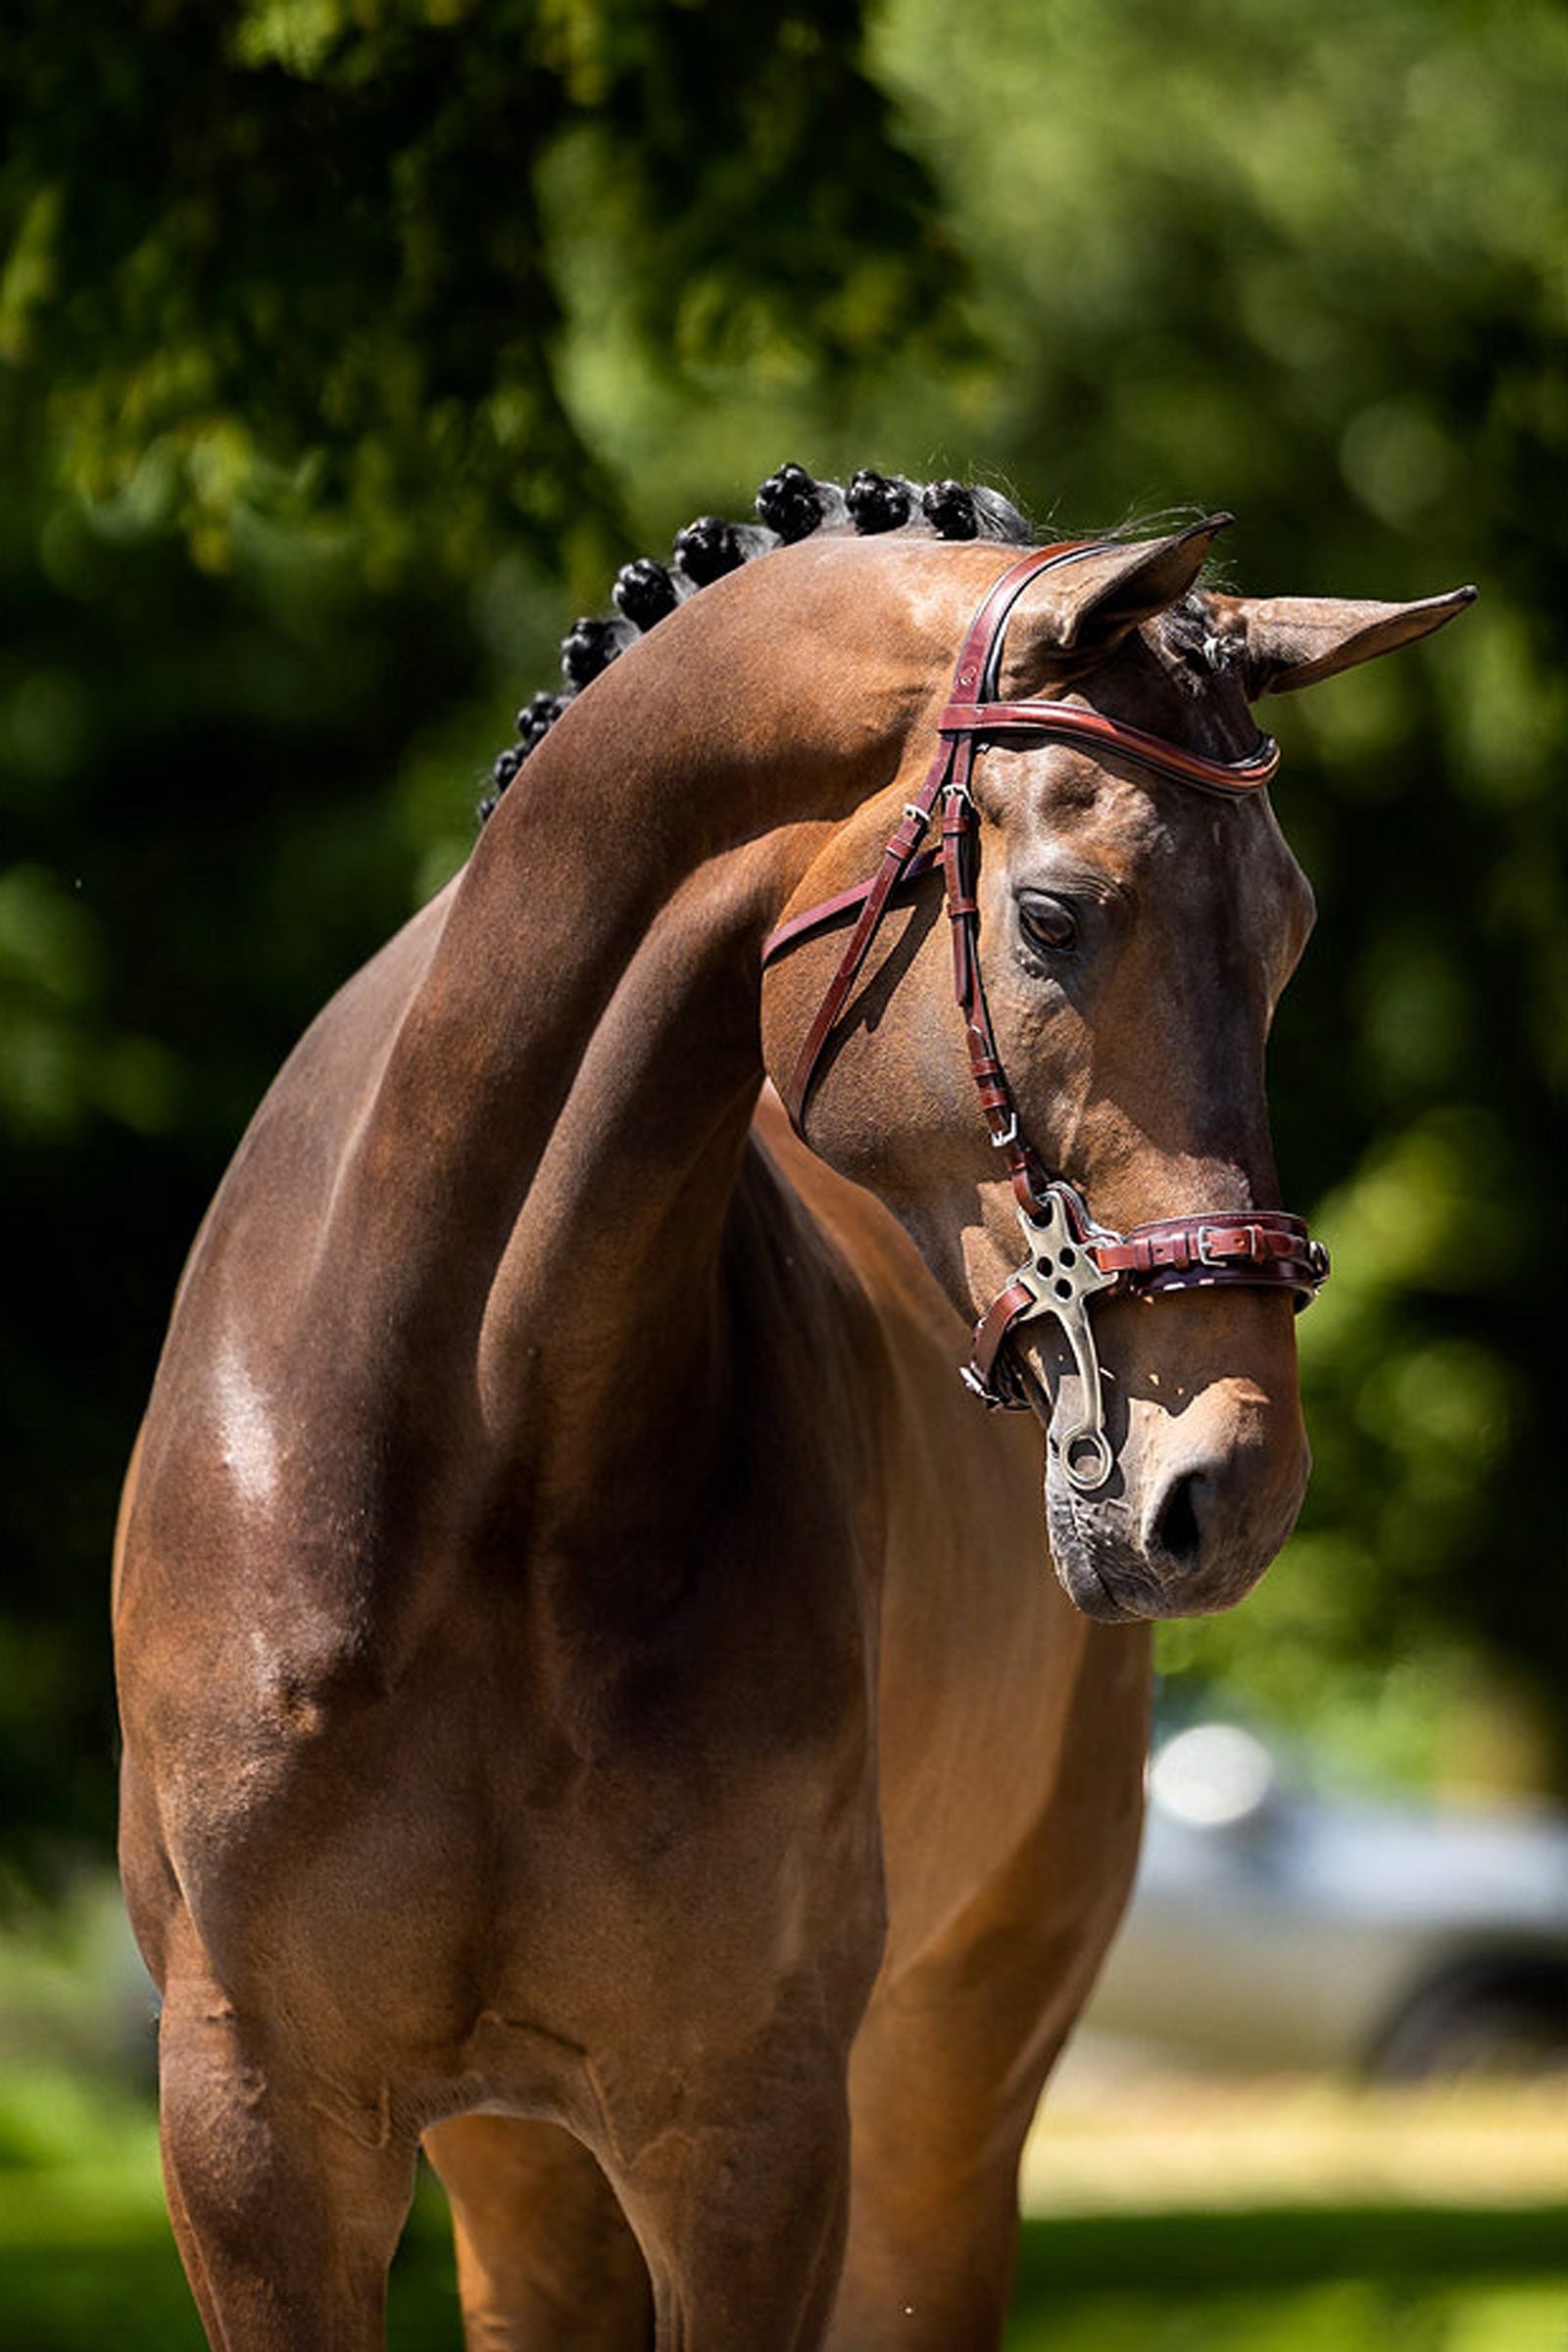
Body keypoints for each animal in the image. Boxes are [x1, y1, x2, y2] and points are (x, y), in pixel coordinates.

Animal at [112, 467, 1472, 2351]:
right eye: (1054, 915)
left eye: (1290, 936)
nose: (1236, 1489)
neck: (465, 1450)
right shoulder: (256, 2136)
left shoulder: (750, 2133)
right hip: (524, 2172)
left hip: (940, 2107)